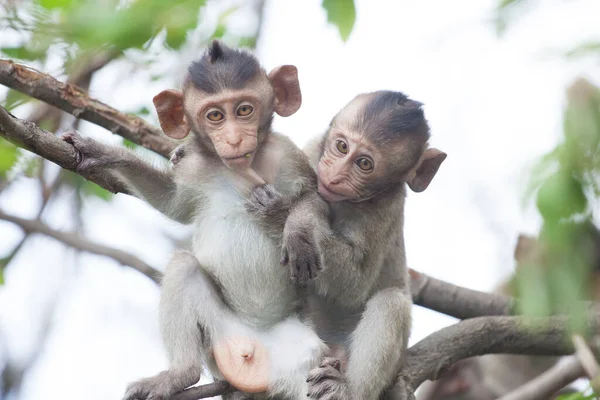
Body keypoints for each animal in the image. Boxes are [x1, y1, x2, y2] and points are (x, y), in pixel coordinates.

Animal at [62, 41, 328, 400]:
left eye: (244, 110)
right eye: (215, 116)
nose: (233, 139)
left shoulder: (286, 154)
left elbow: (315, 197)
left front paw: (298, 235)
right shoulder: (197, 169)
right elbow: (171, 202)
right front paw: (100, 152)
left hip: (303, 353)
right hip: (221, 341)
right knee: (183, 267)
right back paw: (179, 374)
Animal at [248, 91, 446, 400]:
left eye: (364, 164)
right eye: (341, 147)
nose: (336, 174)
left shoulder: (386, 206)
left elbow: (354, 286)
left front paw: (284, 218)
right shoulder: (311, 153)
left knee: (393, 303)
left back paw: (345, 390)